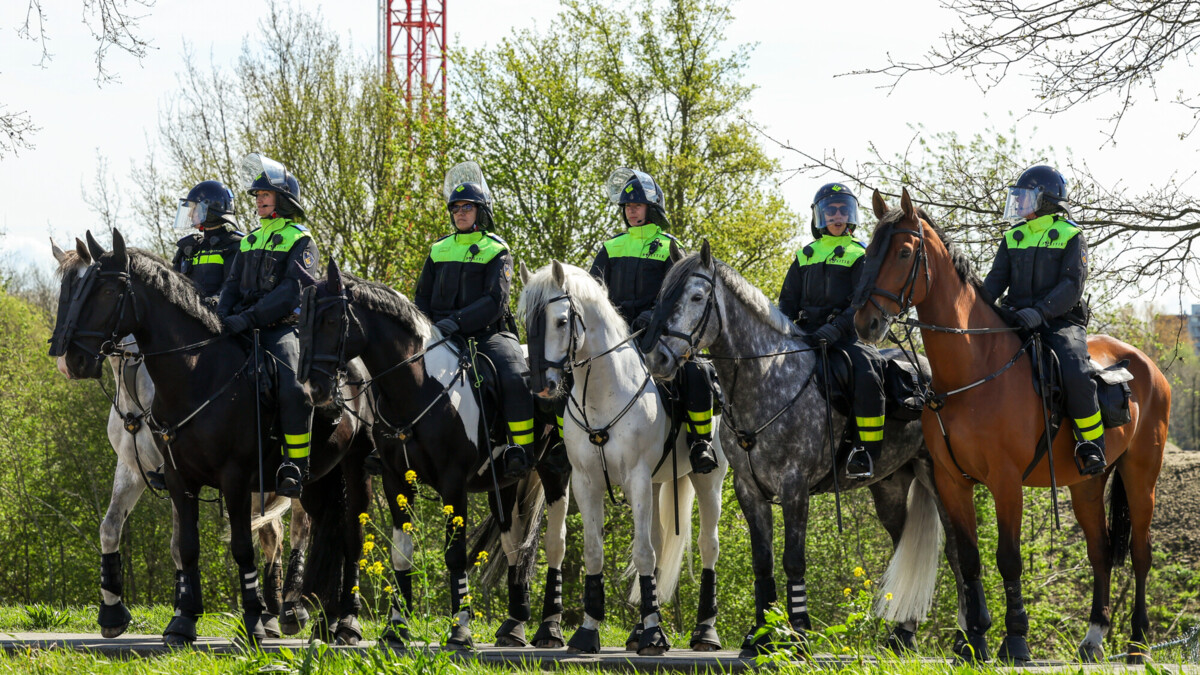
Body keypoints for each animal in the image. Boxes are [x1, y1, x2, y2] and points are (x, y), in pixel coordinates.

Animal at [51, 237, 314, 634]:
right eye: (65, 290)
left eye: (99, 290)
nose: (69, 362)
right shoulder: (135, 470)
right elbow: (110, 528)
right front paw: (113, 611)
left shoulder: (189, 473)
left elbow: (178, 545)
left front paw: (182, 609)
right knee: (272, 534)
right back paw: (270, 612)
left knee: (298, 525)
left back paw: (291, 610)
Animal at [518, 260, 724, 653]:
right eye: (526, 323)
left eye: (561, 321)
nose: (542, 385)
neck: (605, 390)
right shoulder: (586, 483)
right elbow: (594, 551)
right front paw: (587, 631)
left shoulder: (637, 479)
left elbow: (643, 552)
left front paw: (655, 635)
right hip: (658, 484)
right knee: (657, 541)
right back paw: (638, 630)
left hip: (708, 481)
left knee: (707, 546)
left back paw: (705, 632)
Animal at [643, 240, 960, 653]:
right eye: (663, 296)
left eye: (697, 296)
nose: (657, 358)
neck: (767, 378)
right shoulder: (749, 490)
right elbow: (762, 561)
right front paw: (761, 634)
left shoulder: (795, 487)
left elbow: (793, 559)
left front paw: (798, 635)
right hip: (891, 485)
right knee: (903, 544)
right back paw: (902, 634)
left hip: (939, 478)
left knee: (955, 552)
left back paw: (965, 637)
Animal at [854, 186, 1171, 658]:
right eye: (869, 251)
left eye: (904, 252)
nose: (865, 322)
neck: (972, 372)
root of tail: (1148, 365)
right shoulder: (952, 481)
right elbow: (968, 558)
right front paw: (975, 640)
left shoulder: (1005, 482)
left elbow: (1008, 557)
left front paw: (1016, 640)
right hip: (1087, 483)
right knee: (1098, 549)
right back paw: (1094, 637)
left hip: (1140, 474)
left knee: (1140, 553)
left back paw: (1137, 643)